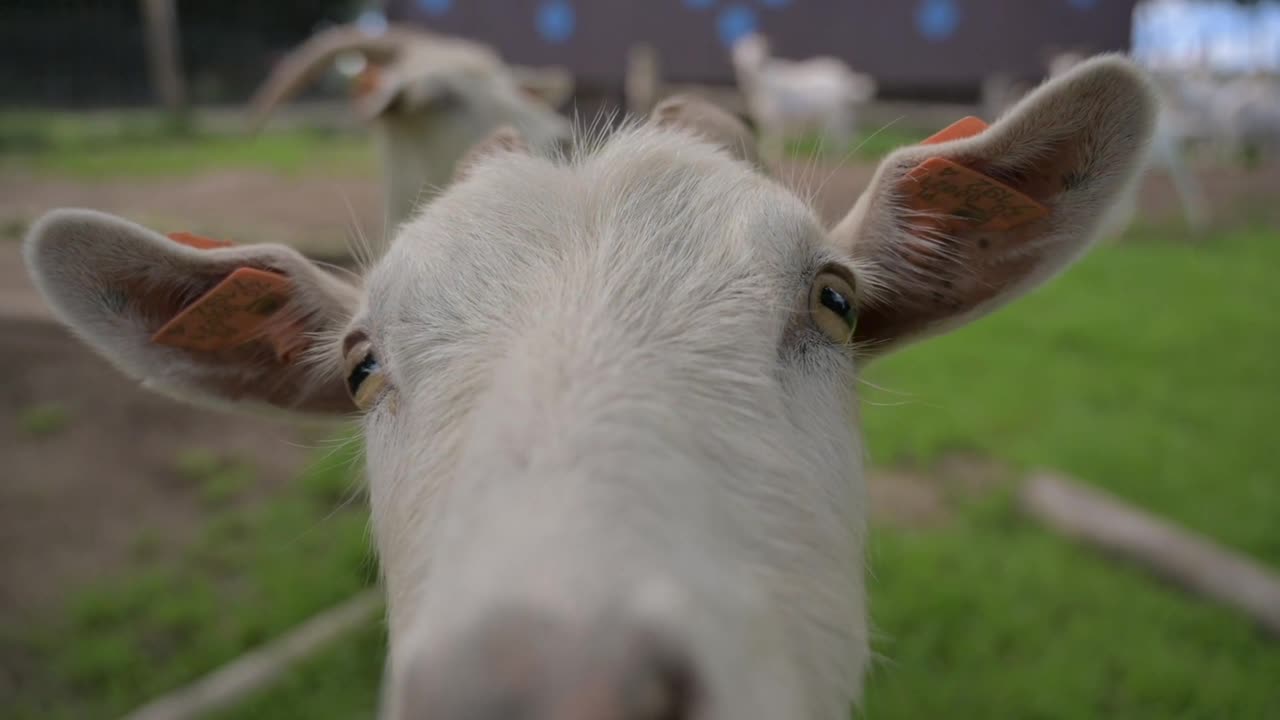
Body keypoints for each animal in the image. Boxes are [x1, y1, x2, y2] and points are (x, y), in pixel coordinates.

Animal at [730, 33, 877, 165]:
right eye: (741, 53)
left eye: (760, 54)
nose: (748, 68)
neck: (762, 82)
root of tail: (846, 80)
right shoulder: (767, 120)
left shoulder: (776, 120)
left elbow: (773, 141)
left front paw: (772, 157)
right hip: (842, 116)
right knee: (848, 136)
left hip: (835, 118)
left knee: (842, 138)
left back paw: (836, 158)